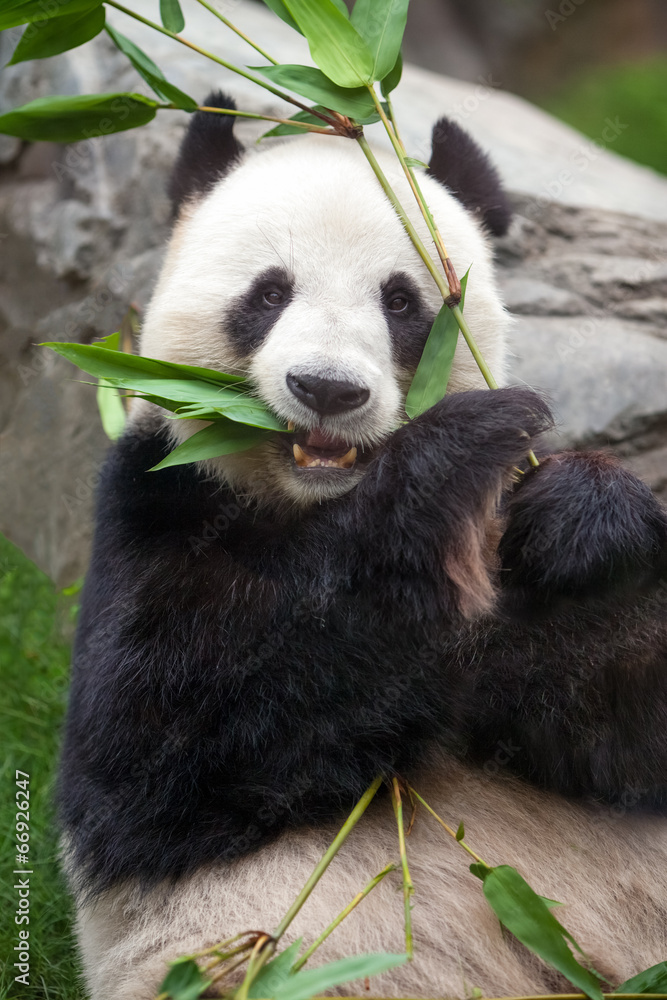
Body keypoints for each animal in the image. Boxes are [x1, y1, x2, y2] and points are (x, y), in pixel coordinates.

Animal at [59, 93, 667, 1000]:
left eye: (402, 301)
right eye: (269, 291)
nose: (326, 389)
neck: (317, 507)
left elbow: (621, 720)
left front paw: (585, 516)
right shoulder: (157, 507)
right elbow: (163, 753)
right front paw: (459, 446)